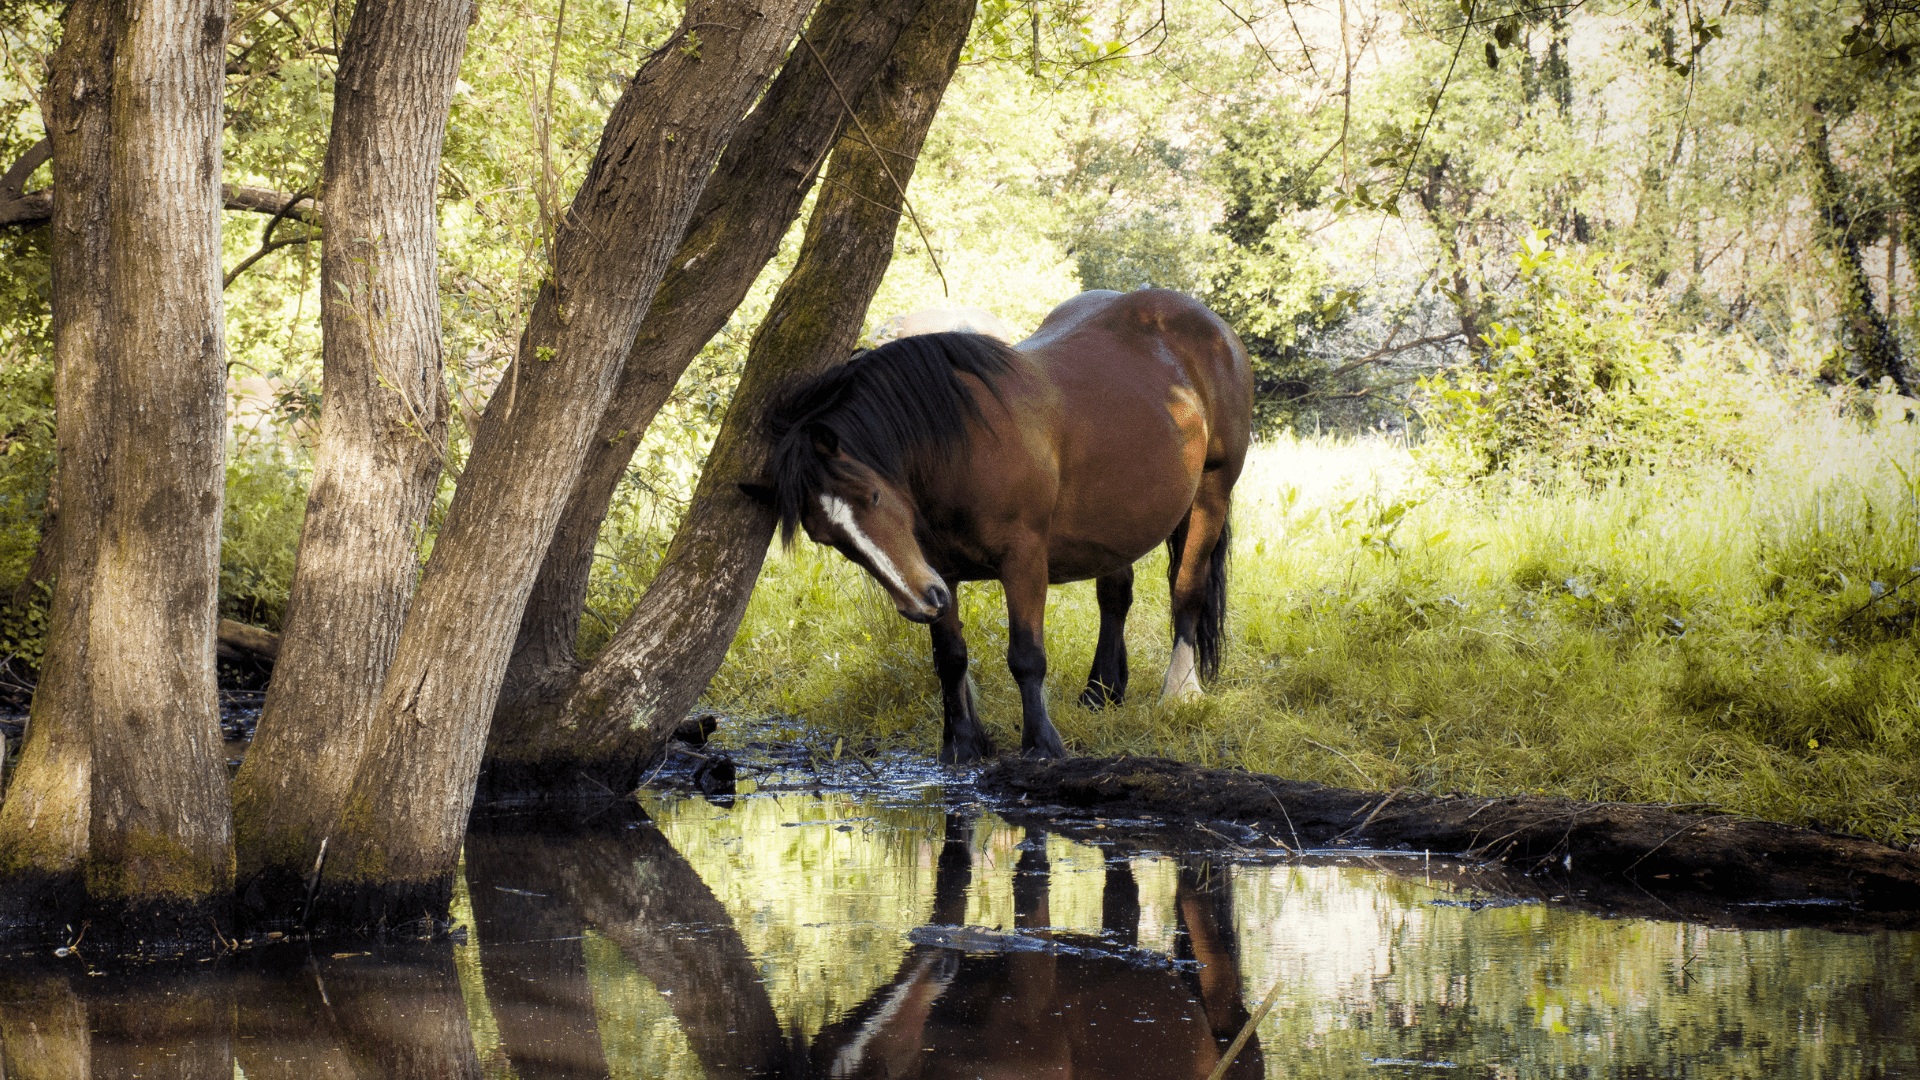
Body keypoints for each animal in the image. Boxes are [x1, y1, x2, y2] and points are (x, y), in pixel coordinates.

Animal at [756, 289, 1252, 763]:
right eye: (827, 537)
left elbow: (1026, 657)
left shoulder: (1023, 560)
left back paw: (1180, 692)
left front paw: (1041, 744)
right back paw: (1101, 691)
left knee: (1187, 589)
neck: (962, 443)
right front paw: (961, 743)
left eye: (873, 495)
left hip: (1211, 495)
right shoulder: (938, 570)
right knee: (1115, 596)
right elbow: (950, 657)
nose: (918, 605)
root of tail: (1213, 329)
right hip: (1117, 521)